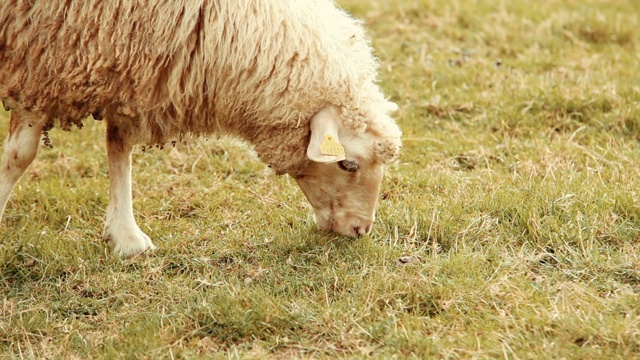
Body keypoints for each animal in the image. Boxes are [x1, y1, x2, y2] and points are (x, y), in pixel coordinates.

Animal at [0, 1, 400, 258]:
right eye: (348, 164)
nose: (361, 230)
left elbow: (120, 144)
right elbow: (20, 155)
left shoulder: (129, 64)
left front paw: (126, 236)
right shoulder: (39, 56)